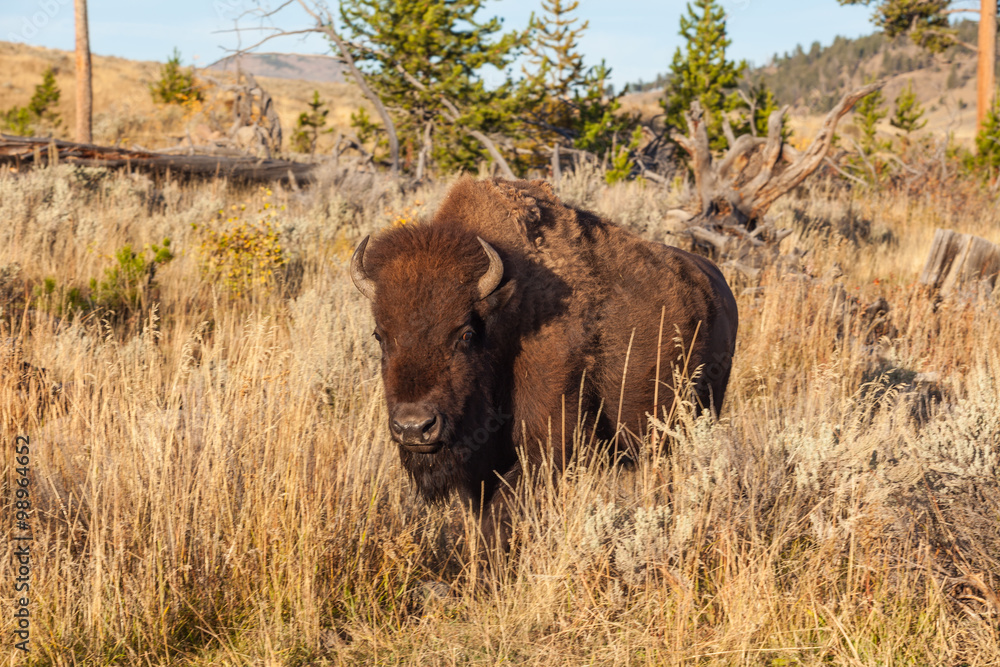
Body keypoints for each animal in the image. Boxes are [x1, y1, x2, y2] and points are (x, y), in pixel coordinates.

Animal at [351, 178, 738, 547]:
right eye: (379, 335)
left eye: (465, 334)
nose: (414, 428)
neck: (507, 312)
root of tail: (717, 284)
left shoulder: (546, 446)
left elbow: (503, 515)